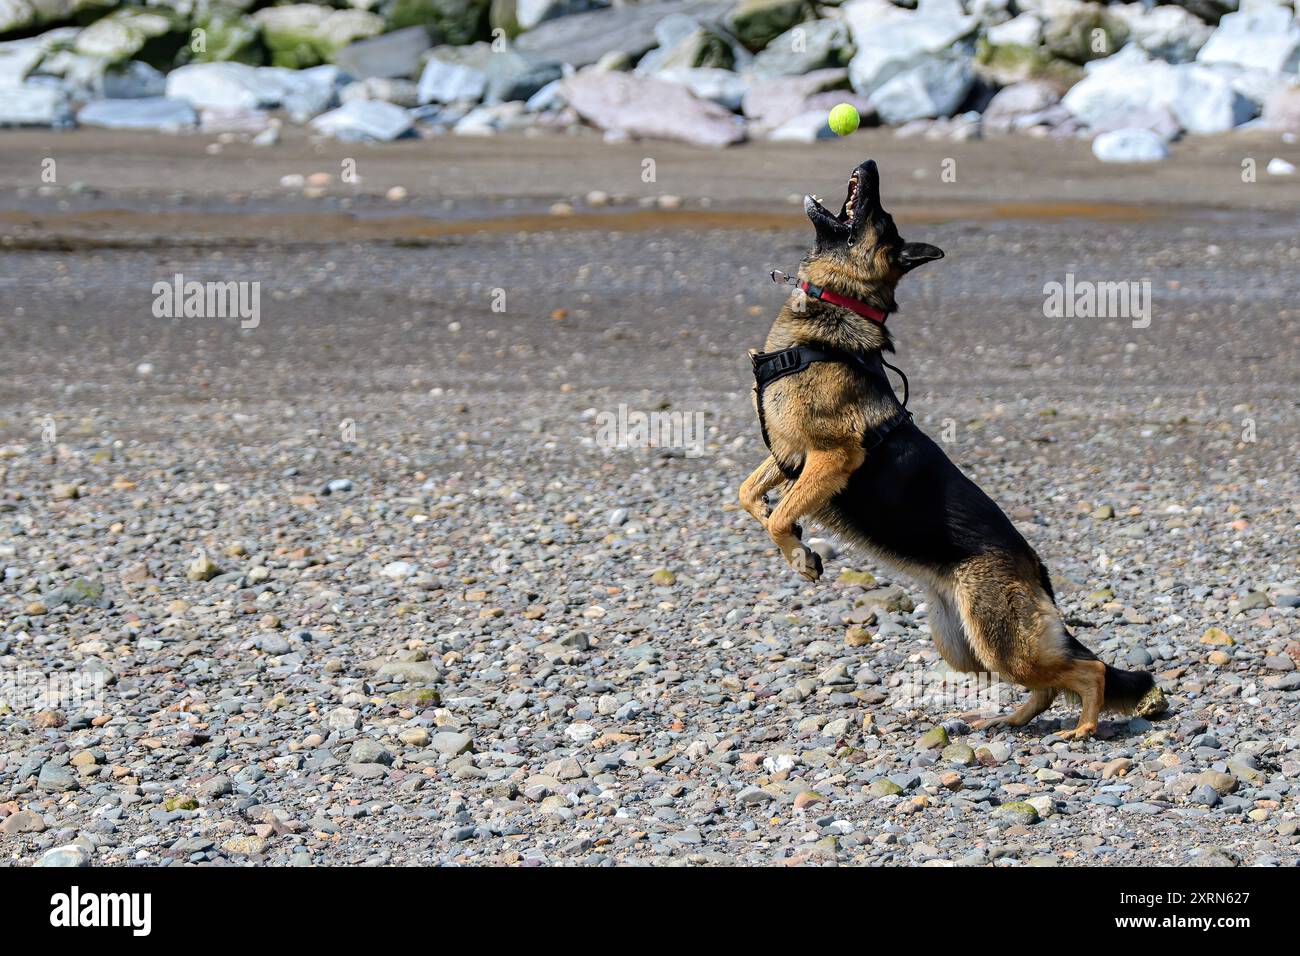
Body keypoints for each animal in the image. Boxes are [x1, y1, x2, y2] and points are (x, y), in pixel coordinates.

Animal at [743, 160, 1170, 738]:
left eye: (880, 215)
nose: (869, 165)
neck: (833, 313)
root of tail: (1036, 567)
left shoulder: (833, 458)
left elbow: (778, 517)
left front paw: (801, 557)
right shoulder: (789, 455)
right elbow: (748, 495)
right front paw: (787, 535)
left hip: (1000, 642)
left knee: (1091, 670)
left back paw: (1082, 728)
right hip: (967, 647)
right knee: (1047, 683)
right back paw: (1007, 721)